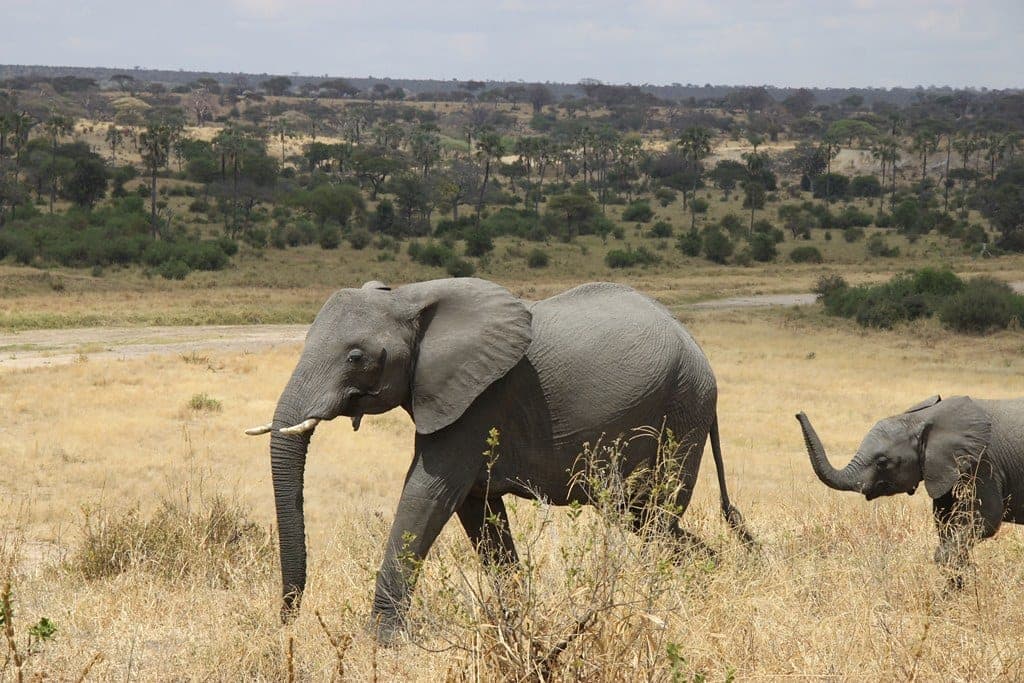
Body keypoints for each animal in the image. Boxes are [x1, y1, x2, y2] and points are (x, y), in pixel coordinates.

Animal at [246, 277, 755, 641]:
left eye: (356, 357)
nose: (287, 622)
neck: (411, 297)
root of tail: (697, 348)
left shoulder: (479, 399)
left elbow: (429, 492)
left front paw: (383, 642)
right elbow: (478, 509)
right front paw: (514, 625)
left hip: (683, 407)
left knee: (655, 517)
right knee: (645, 517)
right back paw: (712, 577)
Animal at [797, 395, 1024, 583]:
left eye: (882, 462)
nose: (799, 413)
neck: (924, 419)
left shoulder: (983, 464)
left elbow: (986, 519)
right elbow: (945, 522)